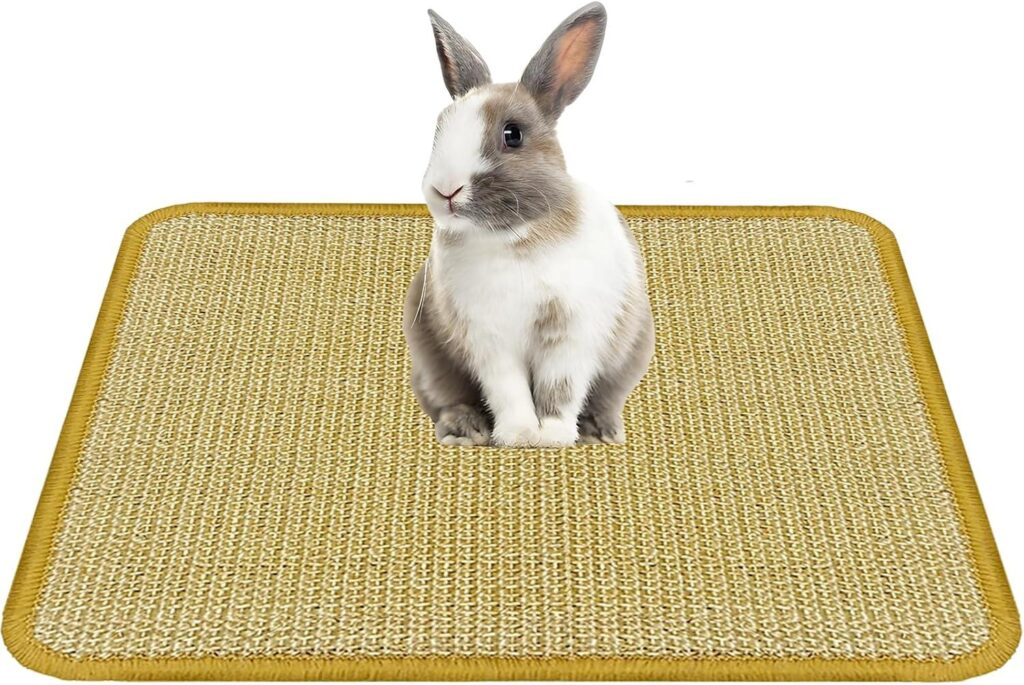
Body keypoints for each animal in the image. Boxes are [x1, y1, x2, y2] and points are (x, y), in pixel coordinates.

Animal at [403, 1, 654, 447]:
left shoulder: (571, 333)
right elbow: (508, 389)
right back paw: (465, 431)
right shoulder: (489, 339)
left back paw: (600, 432)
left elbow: (560, 388)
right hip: (430, 360)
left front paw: (552, 436)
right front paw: (519, 434)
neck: (515, 238)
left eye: (512, 134)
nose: (445, 190)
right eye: (439, 128)